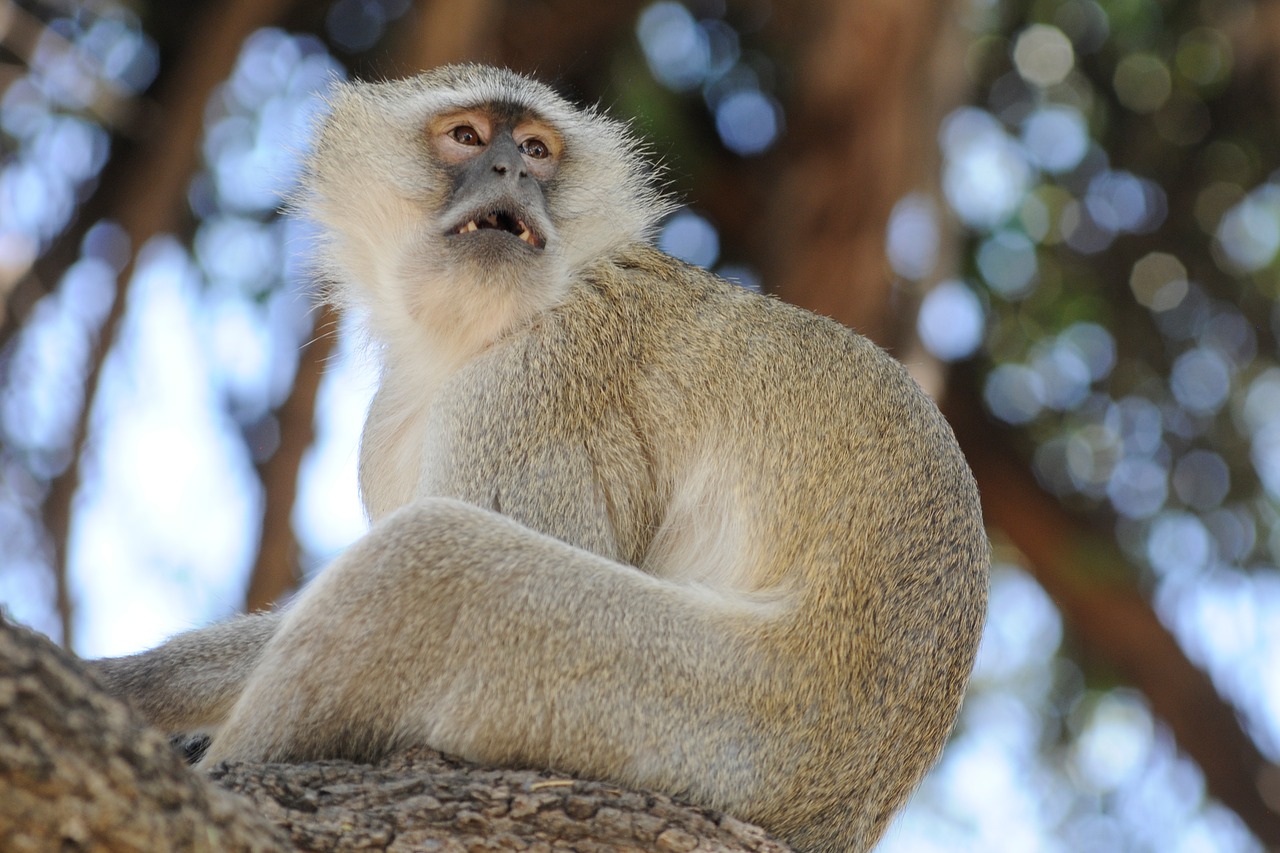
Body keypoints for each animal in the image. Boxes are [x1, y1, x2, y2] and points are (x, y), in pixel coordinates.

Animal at [92, 64, 988, 850]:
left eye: (535, 149)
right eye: (465, 136)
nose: (508, 172)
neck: (469, 336)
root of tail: (842, 812)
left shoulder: (527, 389)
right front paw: (130, 684)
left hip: (720, 718)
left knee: (427, 564)